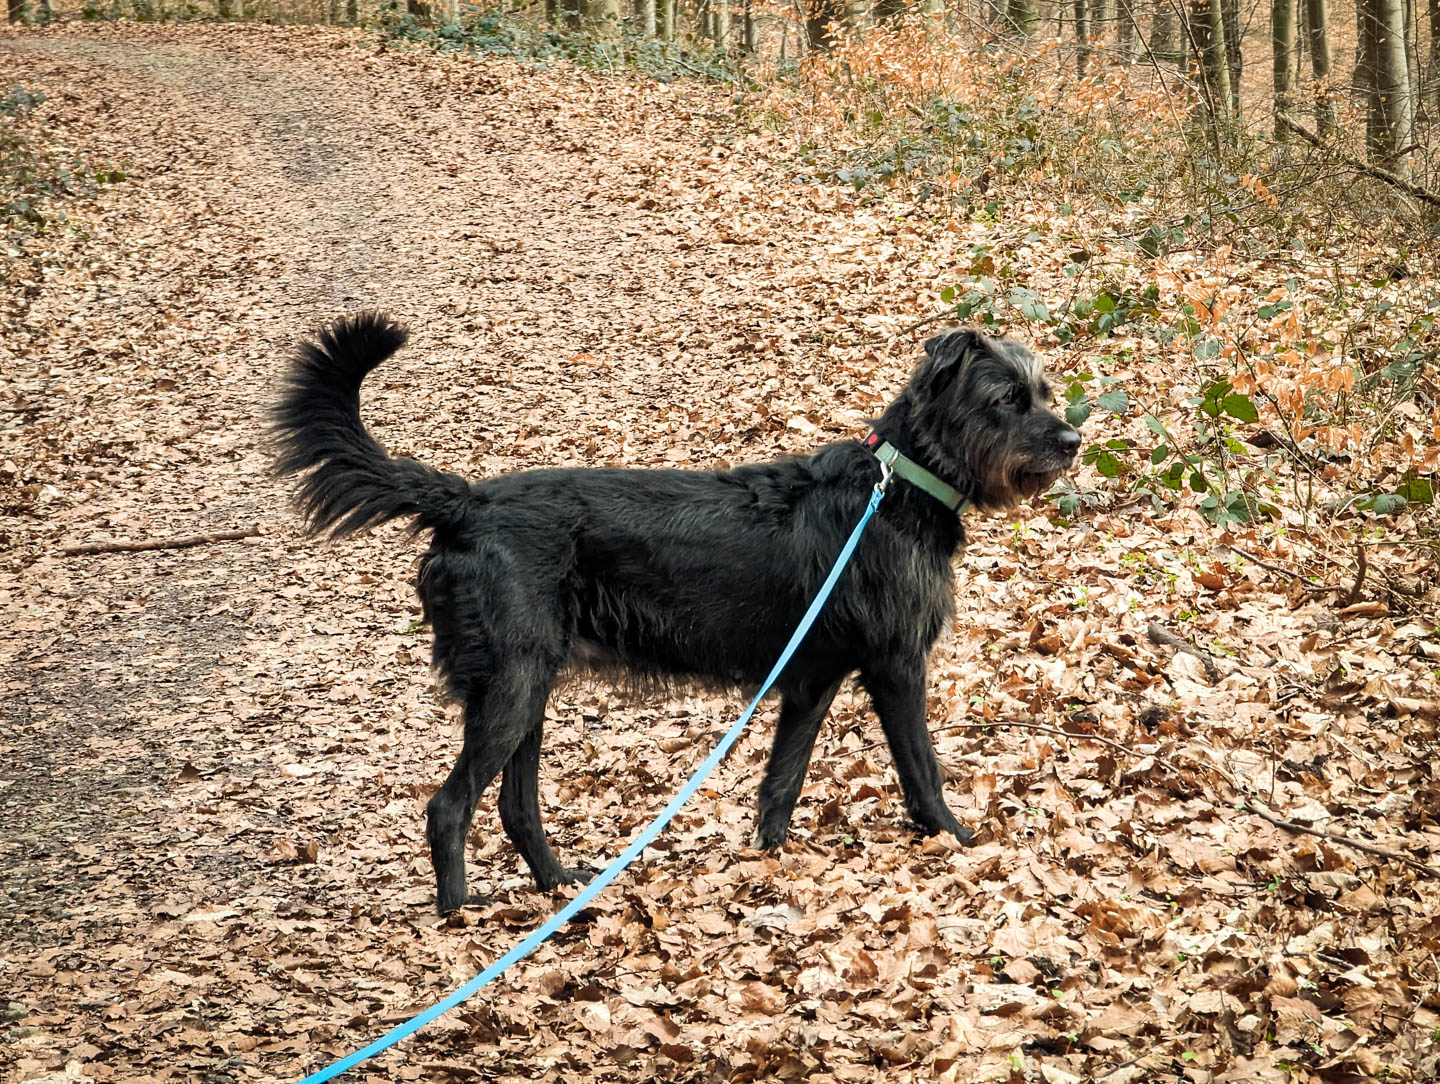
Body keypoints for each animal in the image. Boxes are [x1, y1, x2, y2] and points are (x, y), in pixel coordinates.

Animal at [272, 315, 1082, 915]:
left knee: (514, 805)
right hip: (512, 688)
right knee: (448, 806)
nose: (1074, 440)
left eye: (1043, 391)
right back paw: (458, 913)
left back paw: (558, 886)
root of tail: (465, 503)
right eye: (1006, 399)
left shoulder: (810, 680)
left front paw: (767, 861)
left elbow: (782, 783)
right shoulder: (896, 666)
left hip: (526, 687)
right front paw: (956, 840)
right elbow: (922, 769)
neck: (899, 485)